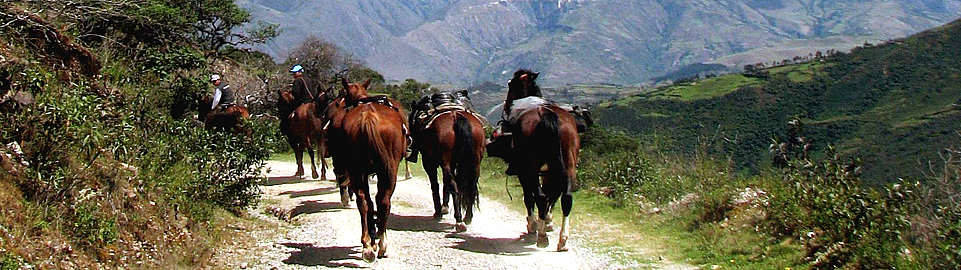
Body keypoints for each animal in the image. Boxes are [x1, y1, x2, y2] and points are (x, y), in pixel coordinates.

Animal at [328, 77, 406, 260]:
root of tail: (368, 115)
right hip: (388, 171)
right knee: (382, 201)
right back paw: (381, 244)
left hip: (357, 170)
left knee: (364, 201)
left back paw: (368, 245)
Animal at [408, 95, 488, 232]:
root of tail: (456, 116)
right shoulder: (451, 163)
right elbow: (445, 183)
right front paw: (444, 207)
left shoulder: (429, 163)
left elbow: (435, 185)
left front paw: (439, 211)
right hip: (475, 163)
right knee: (471, 186)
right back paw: (468, 217)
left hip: (445, 162)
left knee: (454, 186)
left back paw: (459, 220)